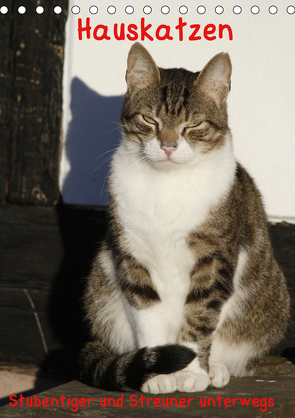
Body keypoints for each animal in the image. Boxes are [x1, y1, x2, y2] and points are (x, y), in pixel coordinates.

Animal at [79, 44, 292, 394]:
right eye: (149, 119)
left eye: (193, 125)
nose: (168, 145)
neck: (167, 184)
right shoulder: (133, 254)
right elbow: (147, 312)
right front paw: (158, 373)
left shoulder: (215, 258)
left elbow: (200, 314)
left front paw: (192, 372)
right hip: (102, 291)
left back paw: (215, 368)